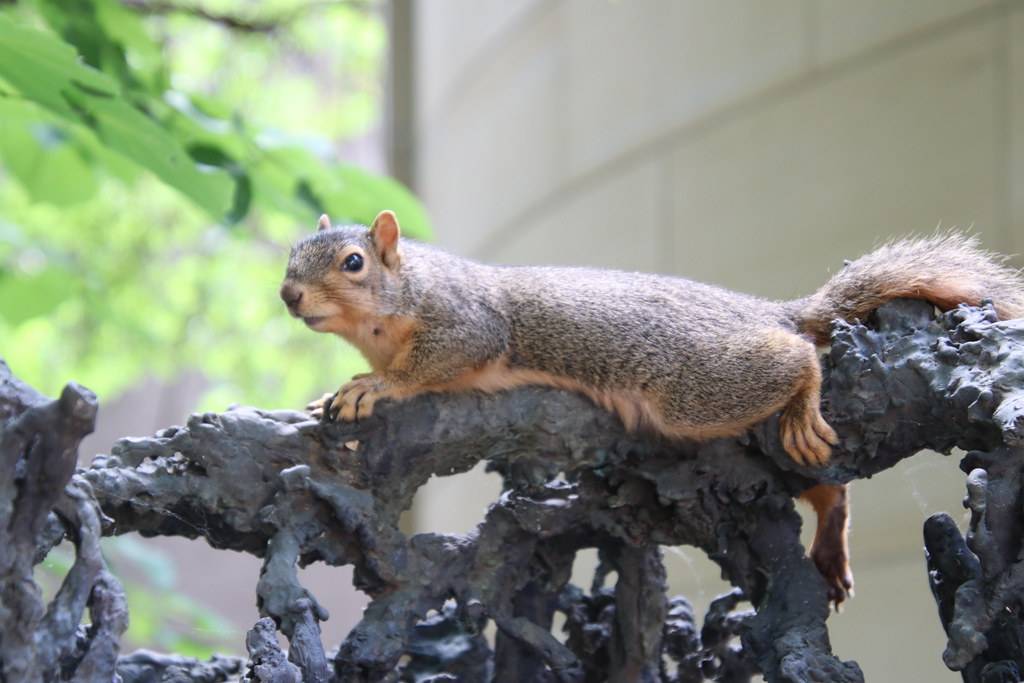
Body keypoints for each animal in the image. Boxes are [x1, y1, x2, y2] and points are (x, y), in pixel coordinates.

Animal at [280, 210, 1024, 605]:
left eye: (352, 263)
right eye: (291, 254)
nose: (288, 295)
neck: (394, 304)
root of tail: (765, 312)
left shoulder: (466, 322)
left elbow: (436, 362)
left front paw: (374, 386)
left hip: (697, 387)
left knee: (793, 358)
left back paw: (802, 381)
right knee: (827, 487)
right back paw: (830, 540)